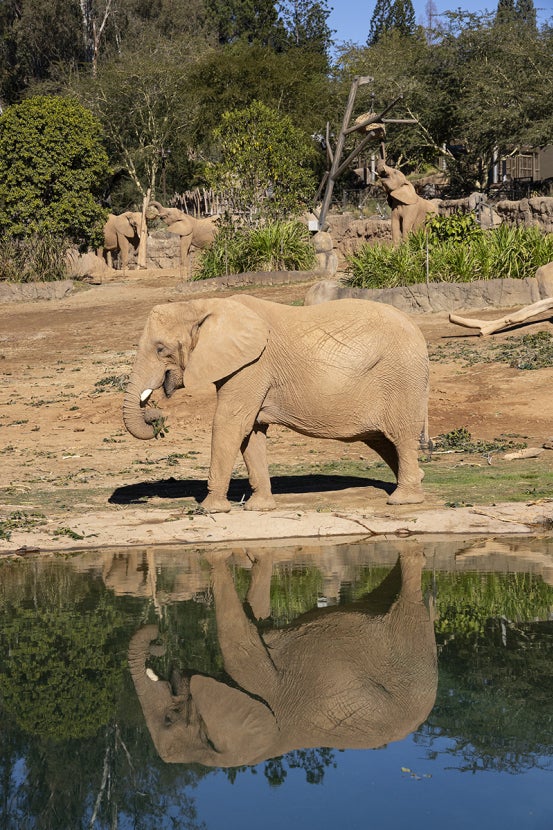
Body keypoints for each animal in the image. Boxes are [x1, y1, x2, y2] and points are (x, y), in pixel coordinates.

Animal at [122, 294, 429, 511]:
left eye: (160, 349)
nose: (156, 416)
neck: (204, 305)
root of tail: (419, 332)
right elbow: (252, 432)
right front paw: (259, 508)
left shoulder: (252, 366)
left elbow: (230, 423)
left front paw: (210, 510)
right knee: (381, 440)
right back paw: (417, 480)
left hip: (402, 377)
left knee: (400, 437)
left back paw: (403, 500)